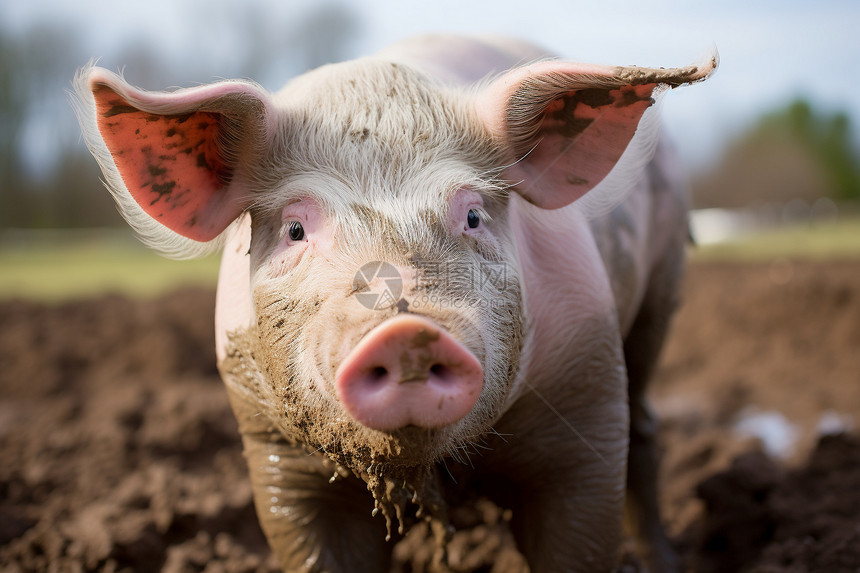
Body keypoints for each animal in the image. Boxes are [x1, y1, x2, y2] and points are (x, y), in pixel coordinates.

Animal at [74, 36, 716, 572]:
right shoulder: (272, 446)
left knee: (646, 425)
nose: (406, 331)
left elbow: (581, 528)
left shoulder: (588, 399)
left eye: (474, 215)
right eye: (295, 230)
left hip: (662, 287)